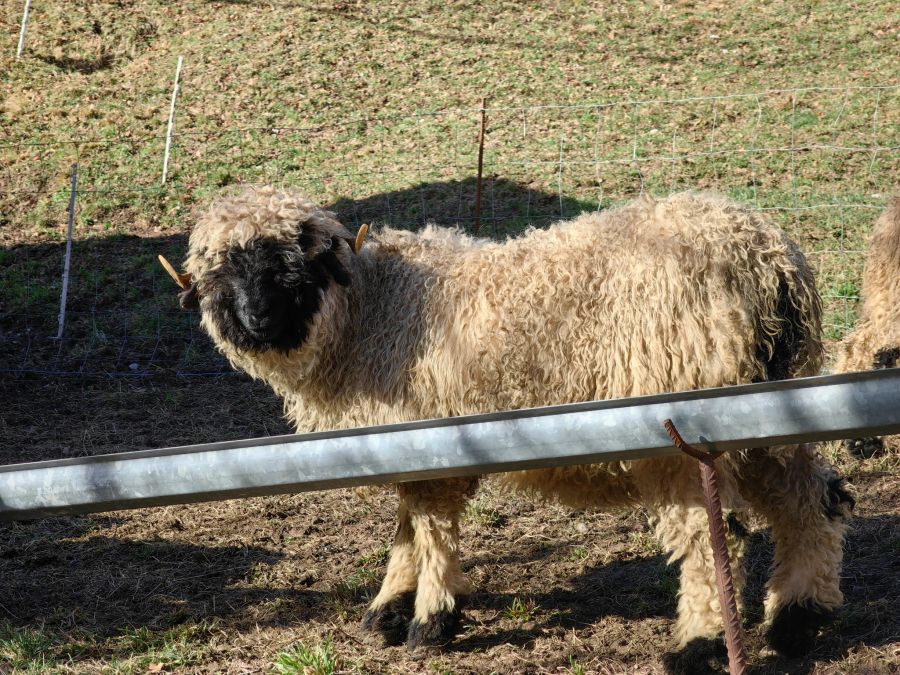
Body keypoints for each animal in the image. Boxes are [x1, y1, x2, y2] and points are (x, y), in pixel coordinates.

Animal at [169, 186, 852, 672]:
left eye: (290, 268)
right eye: (221, 272)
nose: (256, 320)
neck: (370, 312)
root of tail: (765, 258)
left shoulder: (432, 442)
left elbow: (430, 529)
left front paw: (431, 619)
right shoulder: (405, 444)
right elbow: (406, 528)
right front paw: (389, 607)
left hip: (681, 431)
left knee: (713, 536)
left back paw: (698, 644)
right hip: (770, 412)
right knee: (813, 502)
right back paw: (798, 617)